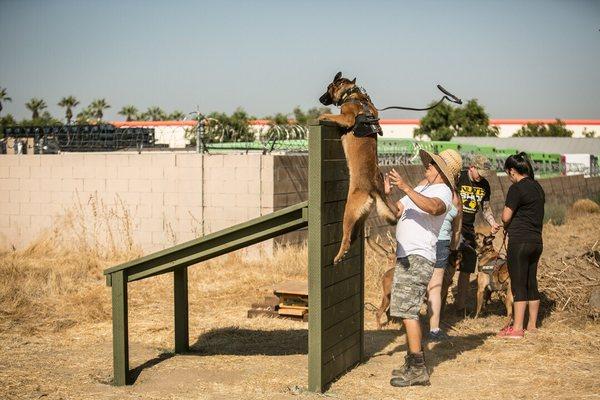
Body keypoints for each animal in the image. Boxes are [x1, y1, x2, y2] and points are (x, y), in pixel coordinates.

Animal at [318, 71, 398, 266]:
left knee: (346, 238)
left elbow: (329, 116)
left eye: (328, 88)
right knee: (353, 238)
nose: (320, 99)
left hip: (349, 211)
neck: (353, 94)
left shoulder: (346, 118)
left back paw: (338, 256)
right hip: (360, 216)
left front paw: (320, 116)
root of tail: (374, 188)